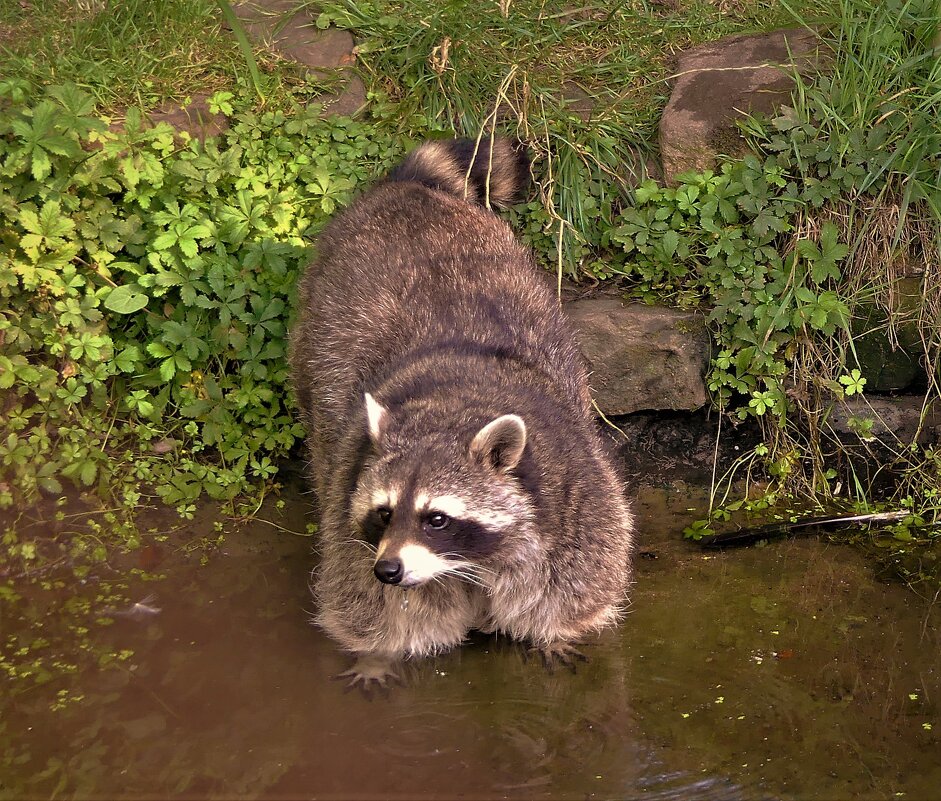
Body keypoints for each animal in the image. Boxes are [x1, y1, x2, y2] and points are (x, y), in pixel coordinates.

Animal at [290, 136, 636, 680]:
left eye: (436, 518)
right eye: (383, 513)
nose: (388, 569)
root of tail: (407, 195)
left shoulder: (575, 493)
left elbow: (582, 575)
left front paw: (555, 630)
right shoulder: (350, 505)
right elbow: (364, 598)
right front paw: (378, 652)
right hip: (316, 337)